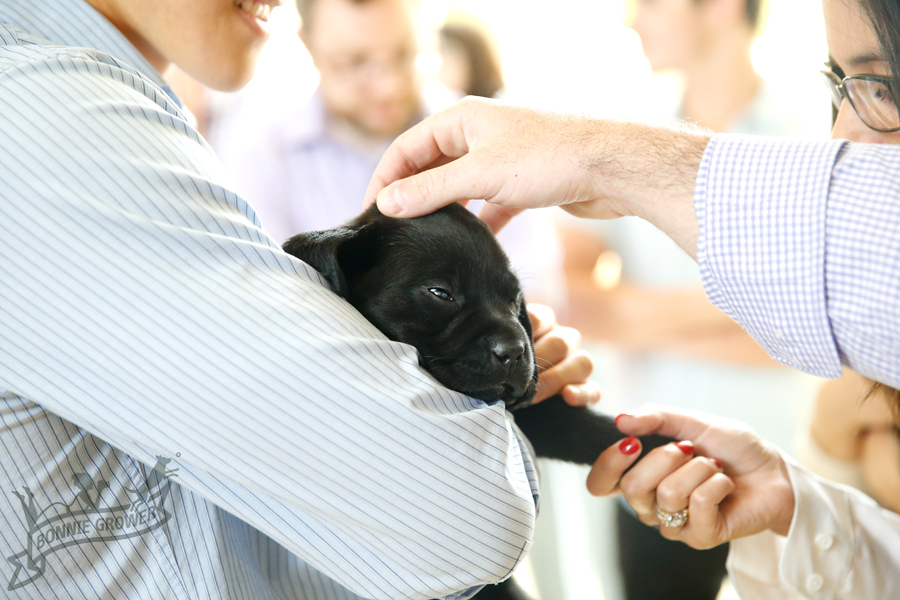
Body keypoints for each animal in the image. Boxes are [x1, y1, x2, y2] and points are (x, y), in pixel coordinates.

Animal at [282, 203, 668, 600]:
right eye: (440, 293)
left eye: (515, 299)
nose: (515, 351)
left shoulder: (531, 415)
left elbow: (587, 428)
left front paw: (669, 447)